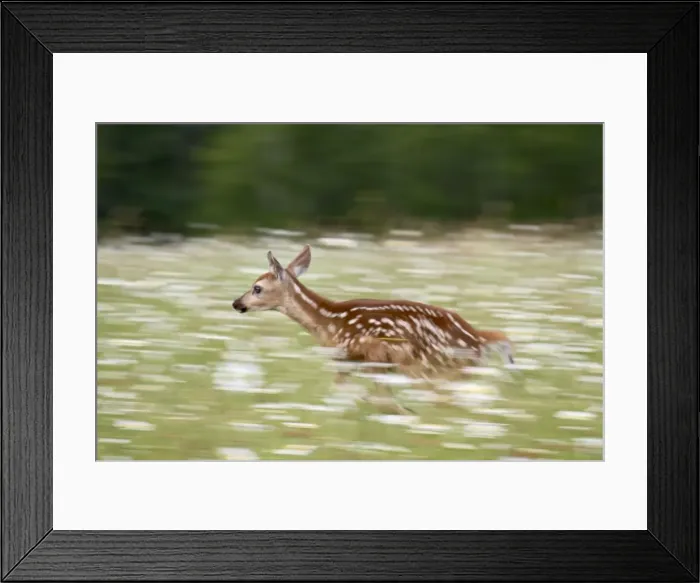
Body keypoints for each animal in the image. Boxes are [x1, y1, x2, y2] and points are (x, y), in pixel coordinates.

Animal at [231, 245, 510, 414]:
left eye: (257, 288)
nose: (236, 303)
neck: (330, 321)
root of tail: (480, 340)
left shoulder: (373, 358)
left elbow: (378, 399)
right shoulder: (348, 363)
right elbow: (346, 391)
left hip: (430, 368)